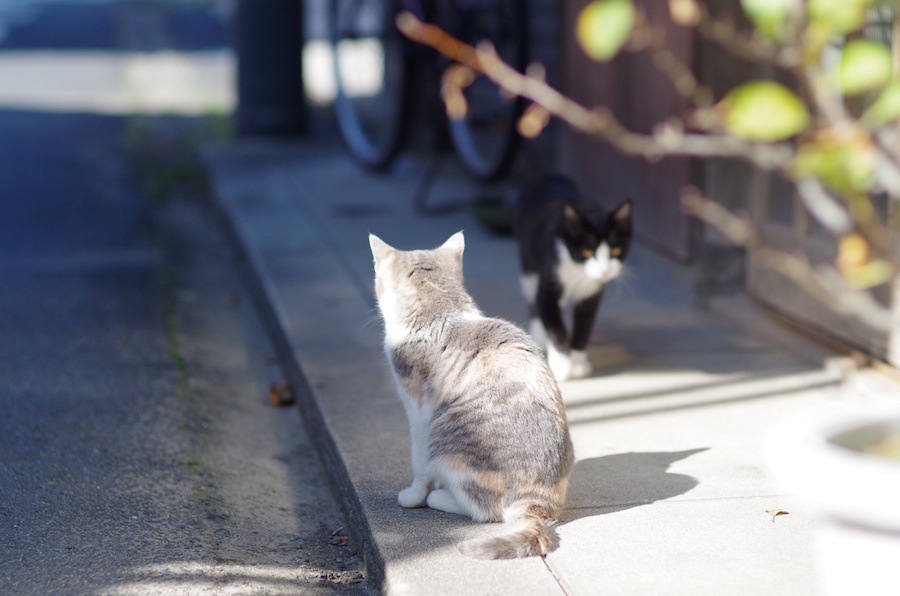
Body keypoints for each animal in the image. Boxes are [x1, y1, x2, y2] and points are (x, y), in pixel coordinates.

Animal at [368, 232, 572, 560]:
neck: (439, 314)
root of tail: (537, 500)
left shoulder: (419, 414)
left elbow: (419, 462)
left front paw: (414, 496)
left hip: (445, 439)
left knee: (484, 510)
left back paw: (440, 497)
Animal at [512, 176, 632, 382]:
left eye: (616, 251)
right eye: (587, 252)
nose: (605, 271)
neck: (577, 270)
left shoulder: (592, 293)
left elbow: (584, 325)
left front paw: (579, 362)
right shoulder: (550, 276)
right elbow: (552, 320)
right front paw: (562, 364)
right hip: (528, 259)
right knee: (533, 299)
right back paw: (539, 333)